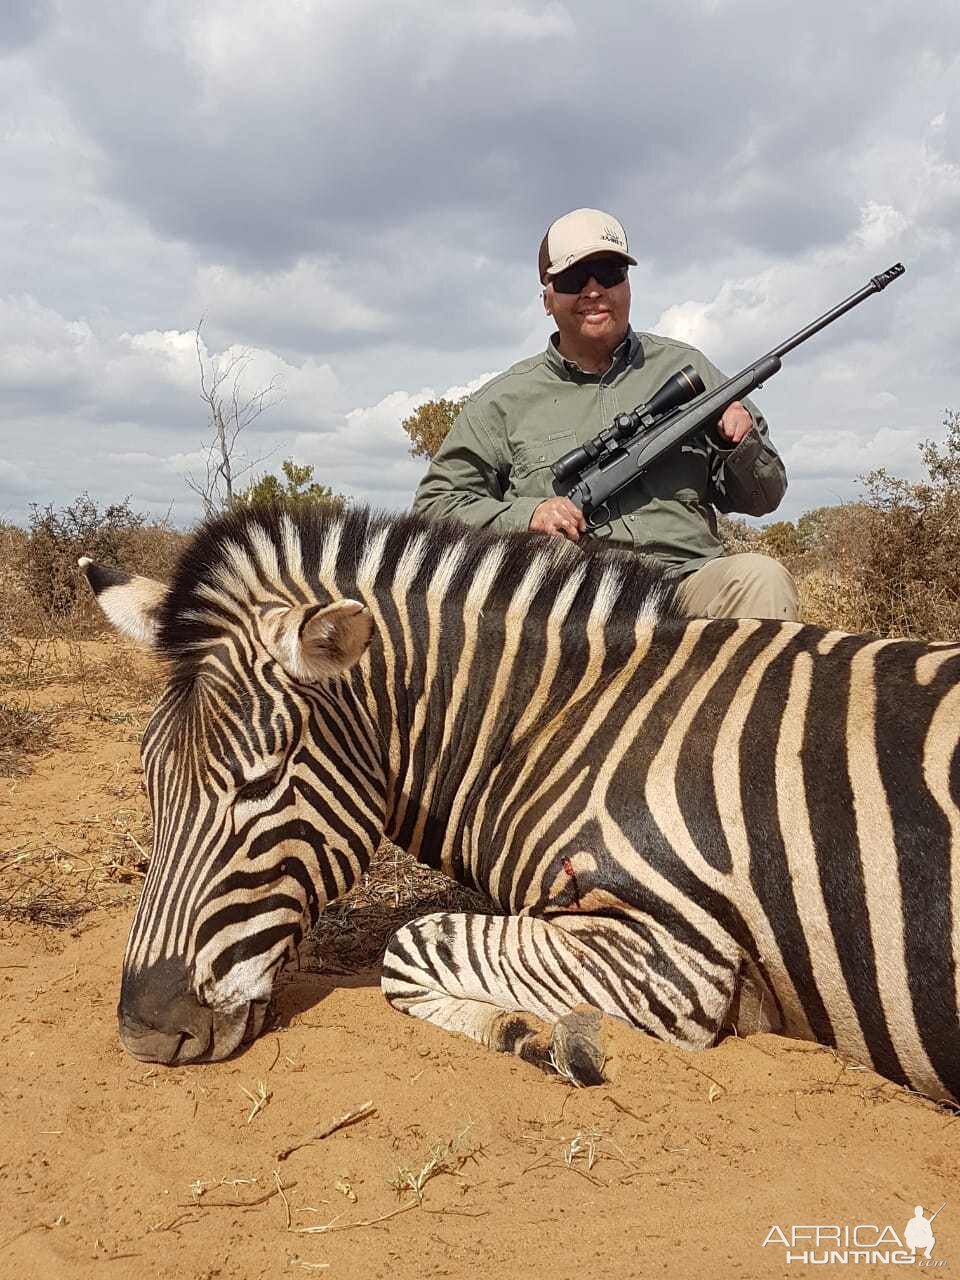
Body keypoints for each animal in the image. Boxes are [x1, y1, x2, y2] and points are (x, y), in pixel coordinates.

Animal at [82, 504, 960, 1105]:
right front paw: (527, 1030)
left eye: (260, 783)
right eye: (148, 780)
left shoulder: (677, 958)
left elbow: (408, 948)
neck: (562, 722)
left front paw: (547, 1037)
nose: (145, 1030)